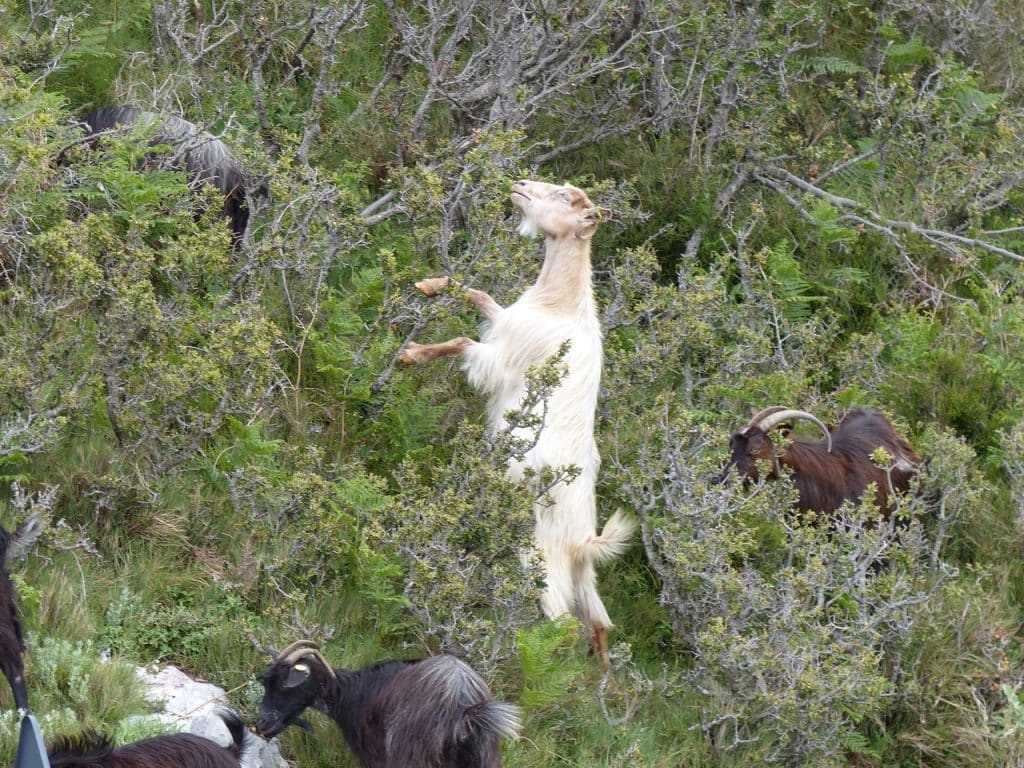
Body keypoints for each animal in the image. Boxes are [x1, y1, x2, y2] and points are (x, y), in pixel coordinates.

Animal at [256, 638, 520, 768]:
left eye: (285, 684)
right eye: (267, 682)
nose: (261, 723)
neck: (354, 693)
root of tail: (465, 709)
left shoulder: (374, 755)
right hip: (486, 758)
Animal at [397, 179, 630, 667]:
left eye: (565, 198)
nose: (521, 185)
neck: (561, 305)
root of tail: (585, 540)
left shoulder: (501, 356)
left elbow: (462, 341)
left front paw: (413, 355)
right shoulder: (504, 318)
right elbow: (478, 294)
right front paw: (429, 285)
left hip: (541, 556)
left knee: (564, 623)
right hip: (583, 576)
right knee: (599, 625)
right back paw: (599, 681)